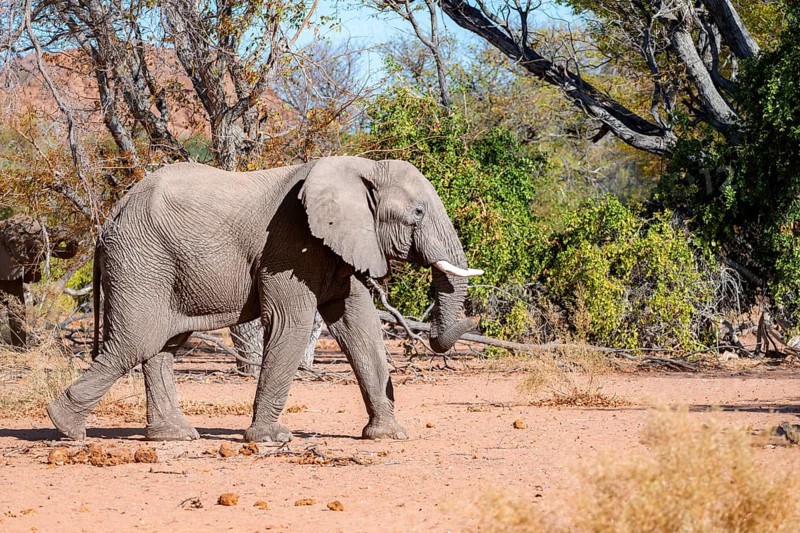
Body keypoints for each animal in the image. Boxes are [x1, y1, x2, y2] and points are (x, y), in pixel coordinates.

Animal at [47, 156, 483, 442]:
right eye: (418, 212)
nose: (475, 322)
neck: (362, 168)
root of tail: (112, 214)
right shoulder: (289, 245)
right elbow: (292, 323)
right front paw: (271, 439)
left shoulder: (342, 246)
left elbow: (359, 327)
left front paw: (388, 436)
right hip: (141, 261)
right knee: (134, 341)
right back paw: (65, 426)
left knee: (162, 345)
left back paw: (175, 437)